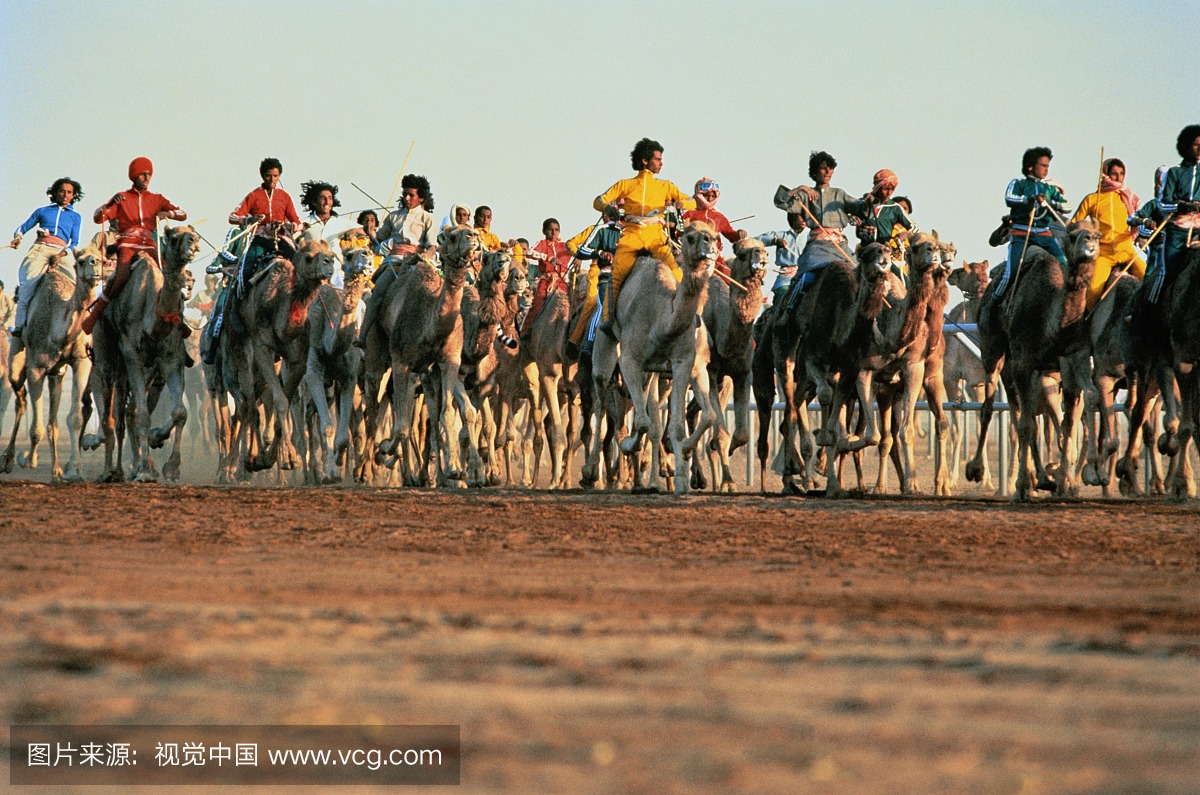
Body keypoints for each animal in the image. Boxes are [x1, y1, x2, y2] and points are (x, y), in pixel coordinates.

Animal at [3, 244, 100, 480]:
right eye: (80, 261)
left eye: (102, 259)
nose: (95, 265)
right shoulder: (36, 368)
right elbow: (36, 426)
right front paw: (29, 460)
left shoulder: (81, 361)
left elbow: (73, 418)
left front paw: (74, 469)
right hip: (17, 358)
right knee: (21, 399)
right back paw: (9, 459)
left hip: (58, 373)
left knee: (52, 419)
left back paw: (55, 468)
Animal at [88, 226, 199, 482]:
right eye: (173, 238)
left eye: (192, 233)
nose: (193, 243)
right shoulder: (133, 356)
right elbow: (143, 416)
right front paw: (146, 471)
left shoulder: (171, 359)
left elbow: (179, 412)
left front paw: (170, 467)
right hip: (106, 352)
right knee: (112, 415)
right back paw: (110, 471)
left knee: (125, 413)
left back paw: (126, 468)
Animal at [302, 242, 372, 482]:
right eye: (348, 255)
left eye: (368, 249)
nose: (367, 255)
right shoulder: (313, 372)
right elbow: (327, 428)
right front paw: (330, 473)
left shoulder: (349, 376)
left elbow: (343, 435)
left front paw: (338, 466)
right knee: (308, 416)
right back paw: (316, 471)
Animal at [590, 224, 720, 494]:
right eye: (690, 237)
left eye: (714, 236)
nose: (710, 246)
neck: (661, 320)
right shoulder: (630, 360)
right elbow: (642, 422)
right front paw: (628, 446)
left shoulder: (683, 363)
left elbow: (680, 424)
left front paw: (681, 479)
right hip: (605, 347)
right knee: (600, 401)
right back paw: (591, 474)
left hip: (653, 371)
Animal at [700, 236, 768, 492]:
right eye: (741, 253)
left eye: (765, 248)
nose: (761, 256)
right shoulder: (710, 373)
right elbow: (722, 434)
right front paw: (729, 482)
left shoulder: (740, 374)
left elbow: (742, 434)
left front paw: (726, 480)